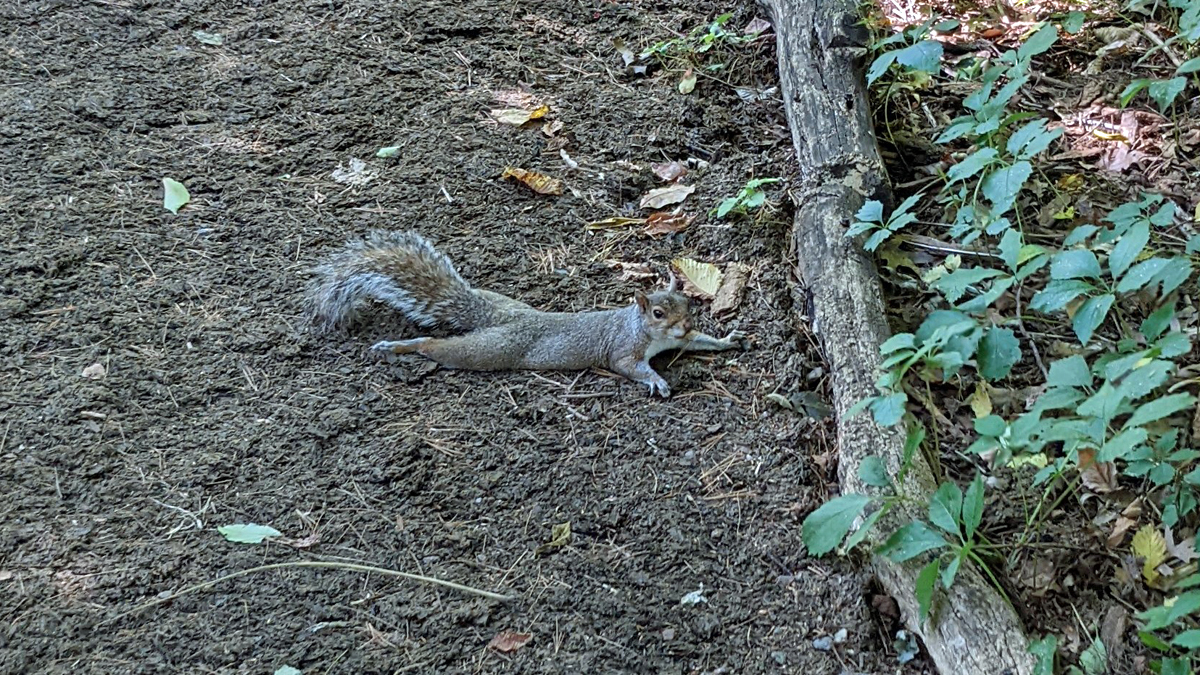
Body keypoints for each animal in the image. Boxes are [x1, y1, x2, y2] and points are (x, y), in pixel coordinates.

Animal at [304, 229, 744, 393]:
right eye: (657, 313)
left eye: (688, 302)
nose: (685, 324)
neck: (647, 334)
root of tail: (504, 318)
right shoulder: (624, 348)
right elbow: (627, 366)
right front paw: (655, 380)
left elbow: (702, 343)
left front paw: (726, 340)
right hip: (489, 350)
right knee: (439, 347)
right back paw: (401, 347)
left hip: (500, 305)